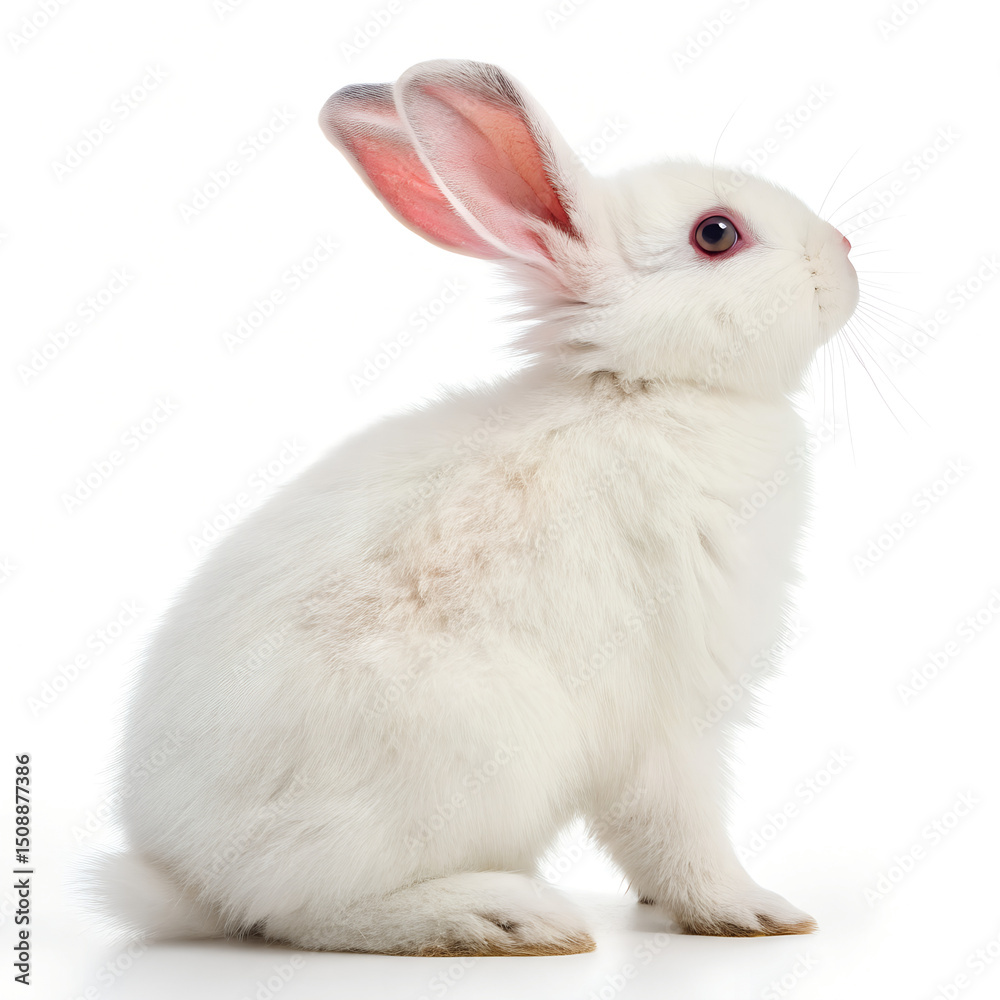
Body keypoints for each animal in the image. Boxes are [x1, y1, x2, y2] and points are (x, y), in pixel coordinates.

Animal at [94, 58, 859, 956]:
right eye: (716, 234)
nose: (845, 251)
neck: (637, 384)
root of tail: (186, 874)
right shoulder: (666, 714)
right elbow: (677, 829)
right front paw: (753, 912)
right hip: (470, 755)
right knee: (301, 910)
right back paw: (501, 917)